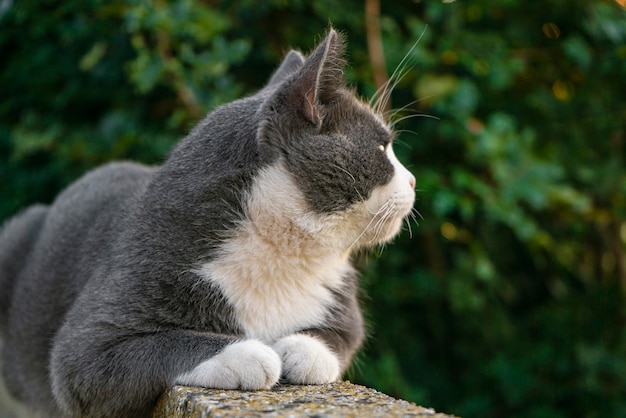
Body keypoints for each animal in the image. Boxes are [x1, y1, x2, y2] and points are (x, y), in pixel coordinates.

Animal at [0, 27, 416, 416]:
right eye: (382, 147)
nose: (413, 180)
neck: (281, 252)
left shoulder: (341, 299)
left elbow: (344, 334)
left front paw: (301, 349)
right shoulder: (98, 329)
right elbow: (124, 353)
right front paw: (247, 354)